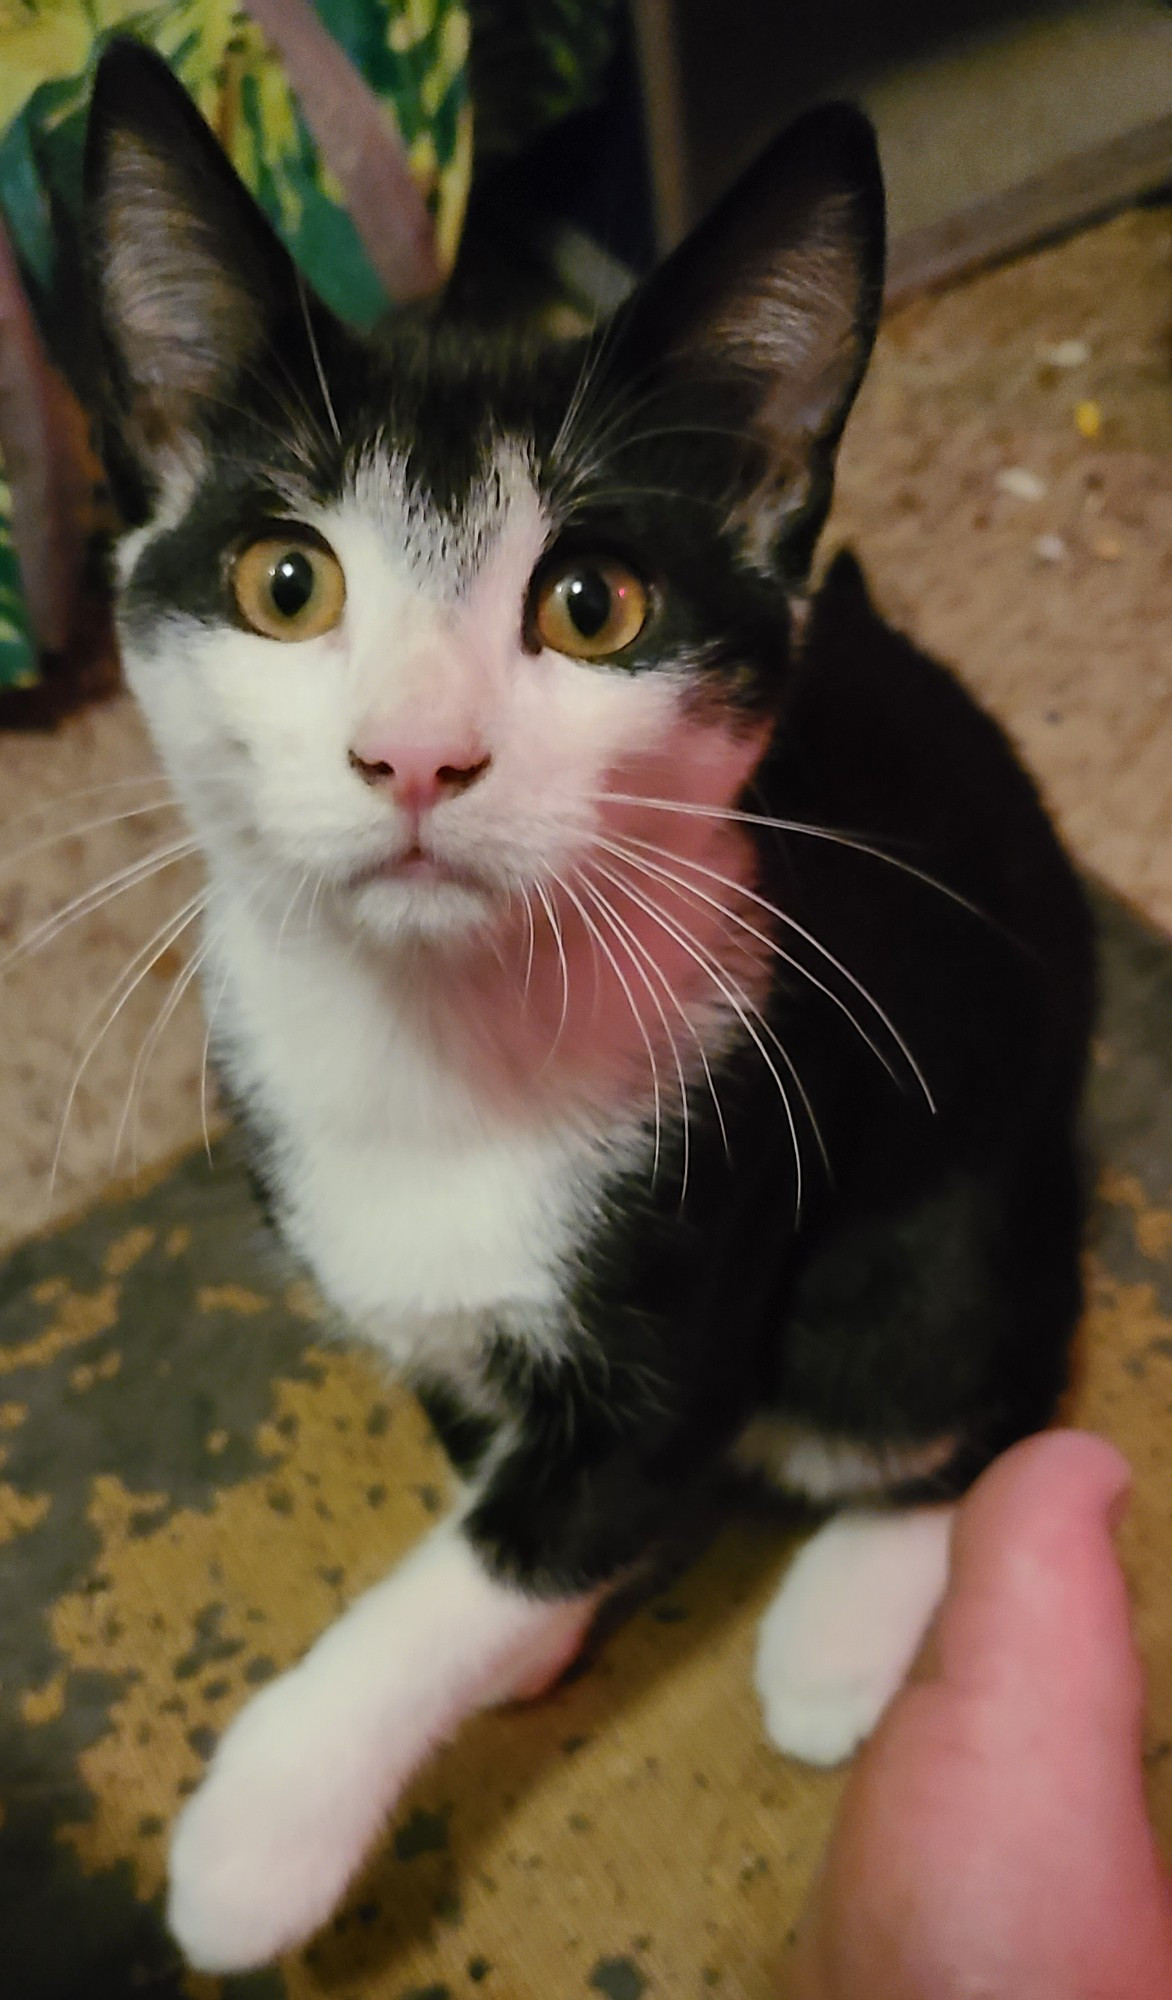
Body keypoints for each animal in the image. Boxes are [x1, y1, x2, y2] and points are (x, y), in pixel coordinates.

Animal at [84, 39, 1096, 1976]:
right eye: (282, 582)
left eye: (591, 603)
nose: (416, 753)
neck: (436, 1045)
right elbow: (495, 1488)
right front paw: (522, 1632)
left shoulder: (717, 1219)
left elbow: (531, 1537)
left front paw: (260, 1833)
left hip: (950, 1204)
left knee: (963, 1382)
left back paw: (847, 1622)